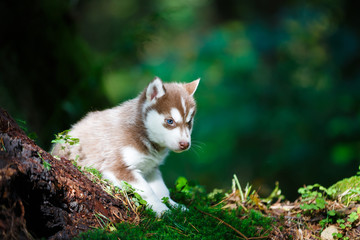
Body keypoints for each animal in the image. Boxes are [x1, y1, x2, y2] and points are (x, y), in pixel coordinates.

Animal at [52, 77, 200, 216]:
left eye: (189, 122)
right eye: (170, 121)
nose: (185, 144)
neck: (143, 134)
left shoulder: (151, 168)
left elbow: (162, 190)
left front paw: (176, 206)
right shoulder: (119, 168)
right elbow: (147, 191)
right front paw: (162, 210)